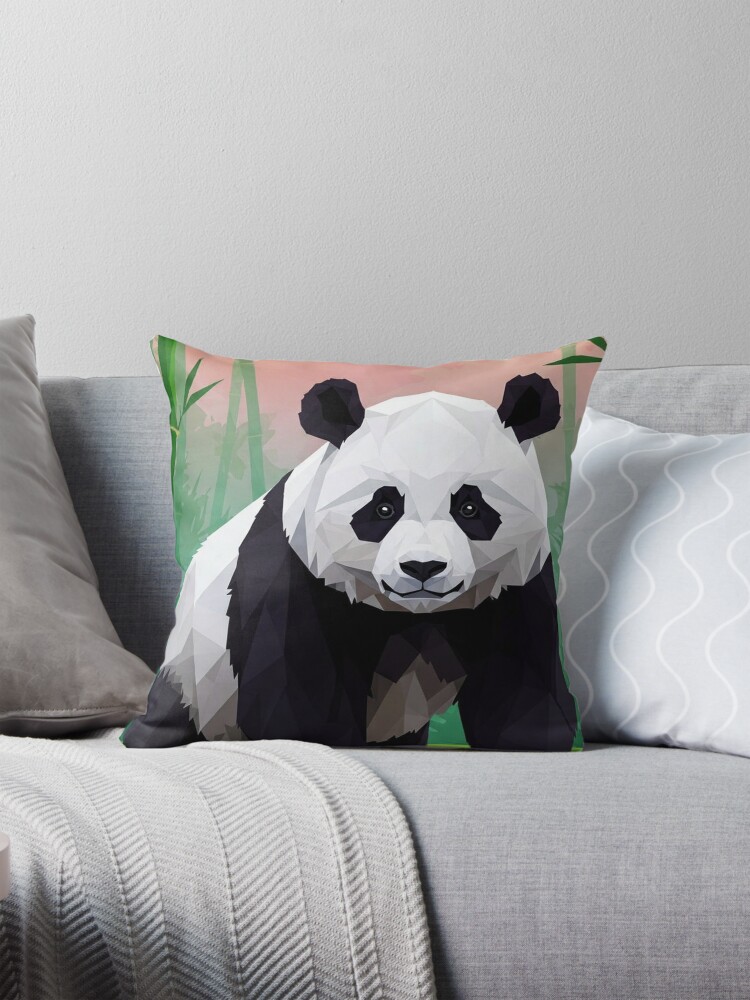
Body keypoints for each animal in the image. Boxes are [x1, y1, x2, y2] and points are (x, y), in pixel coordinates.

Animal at [123, 373, 578, 751]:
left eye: (470, 508)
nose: (423, 568)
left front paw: (537, 734)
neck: (416, 615)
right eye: (383, 508)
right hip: (193, 671)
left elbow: (518, 681)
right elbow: (293, 693)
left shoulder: (515, 590)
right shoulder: (295, 574)